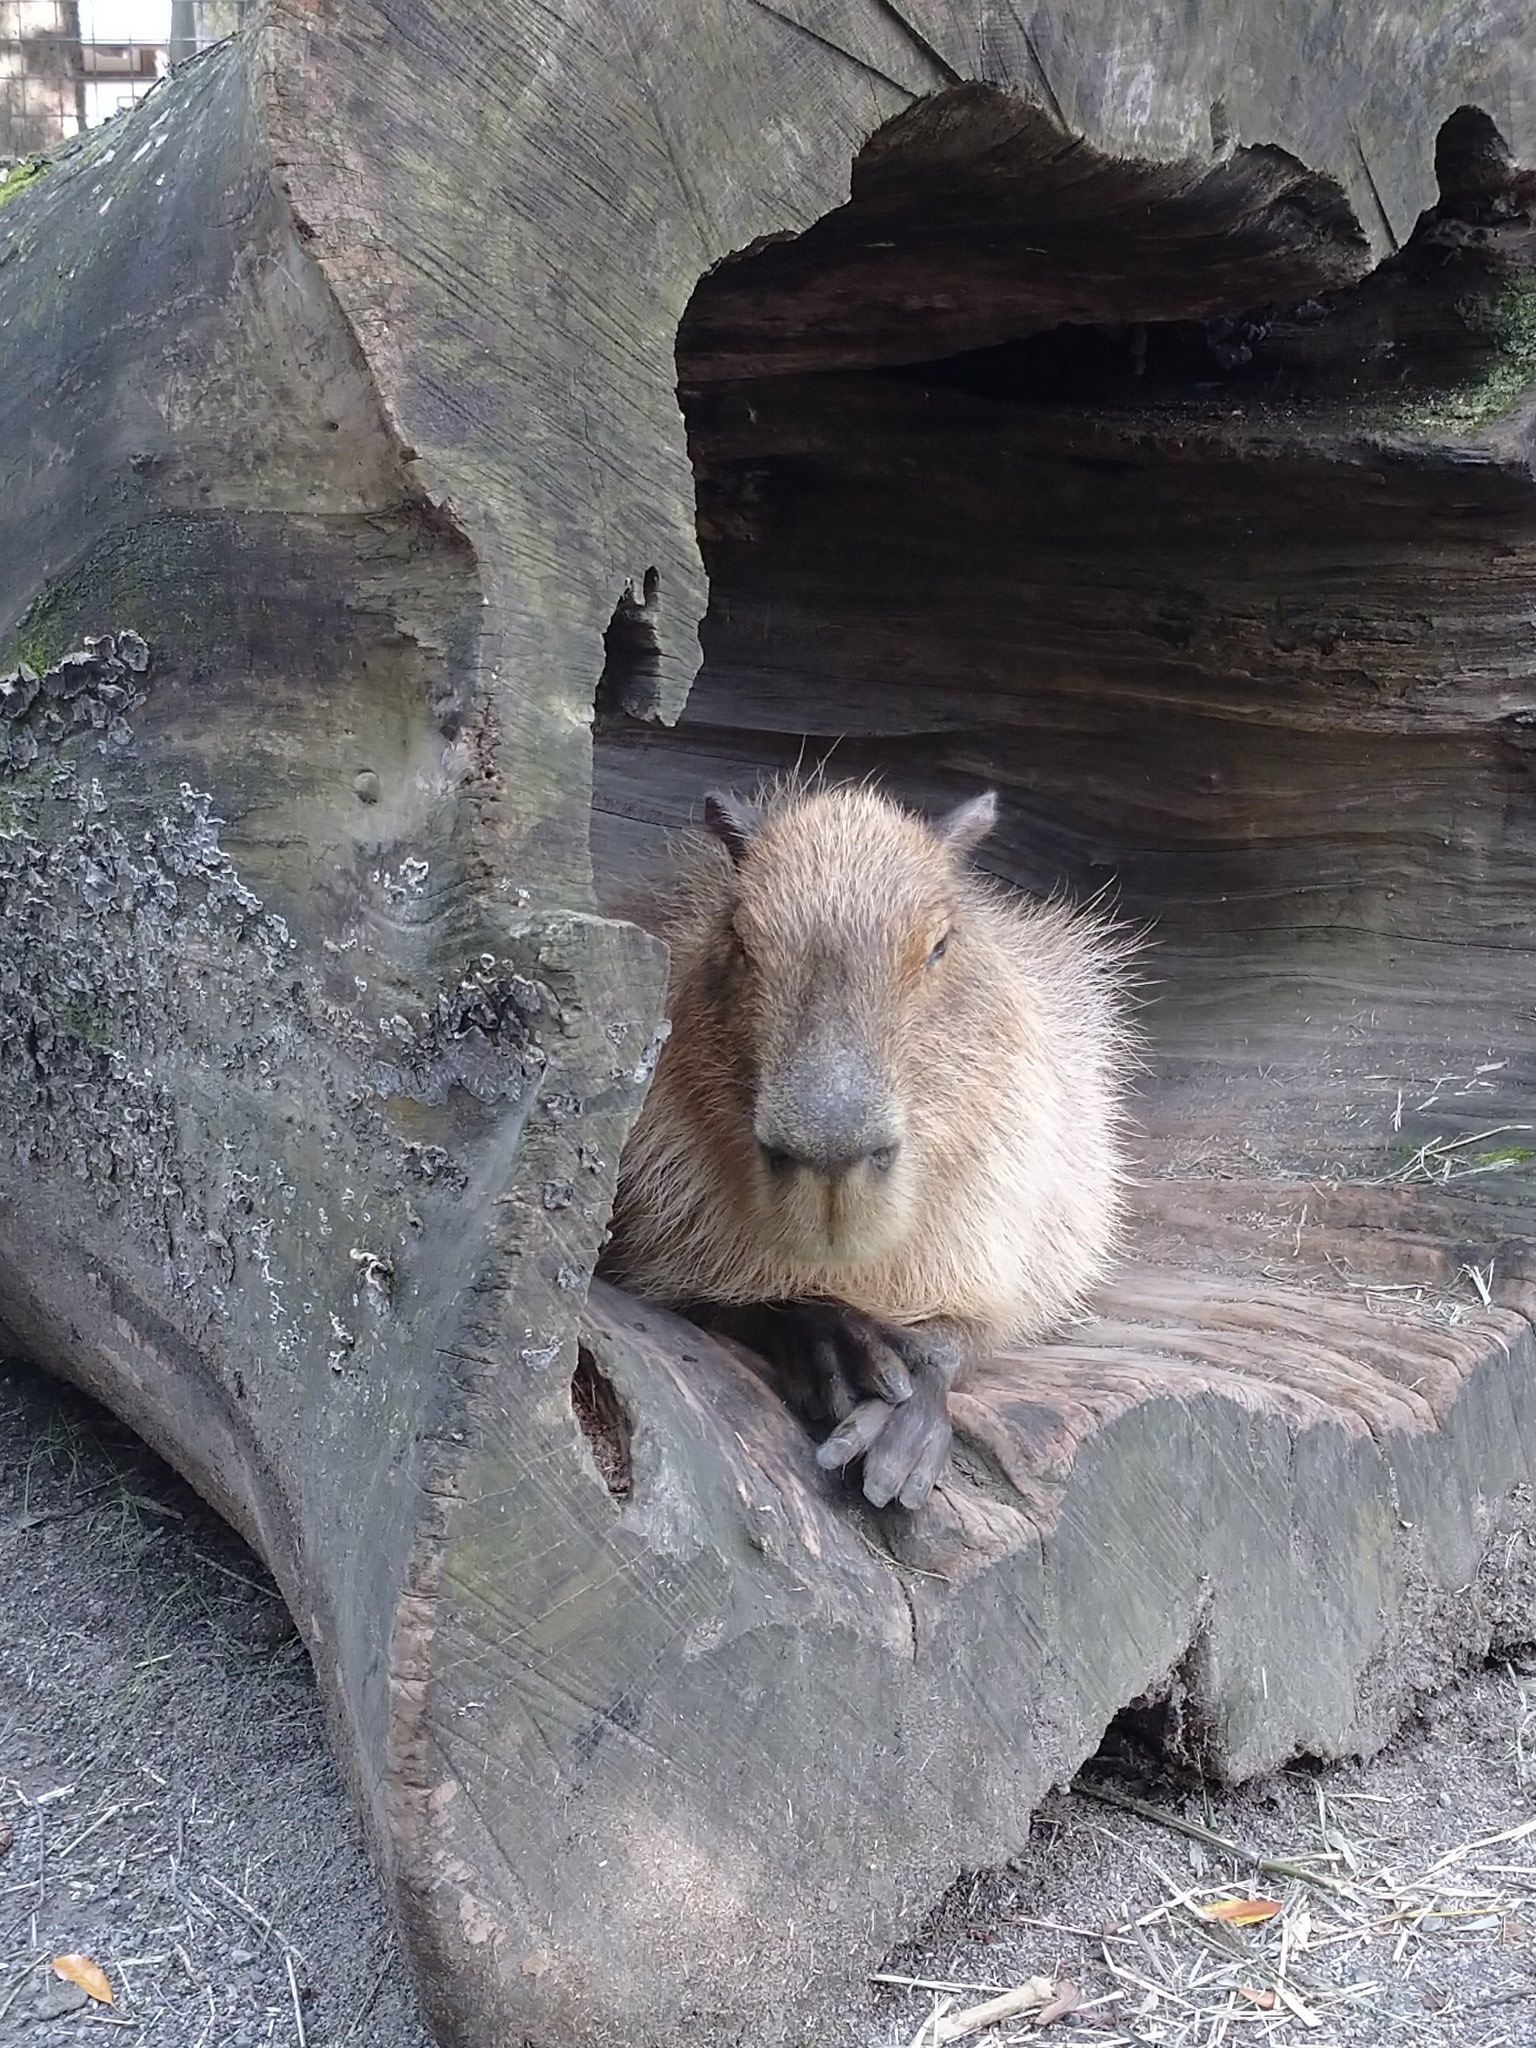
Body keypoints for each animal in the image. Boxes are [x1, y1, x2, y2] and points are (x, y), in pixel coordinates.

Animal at [601, 780, 1132, 1510]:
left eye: (941, 943)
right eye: (738, 936)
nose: (831, 1154)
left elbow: (976, 1331)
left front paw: (897, 1445)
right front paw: (836, 1349)